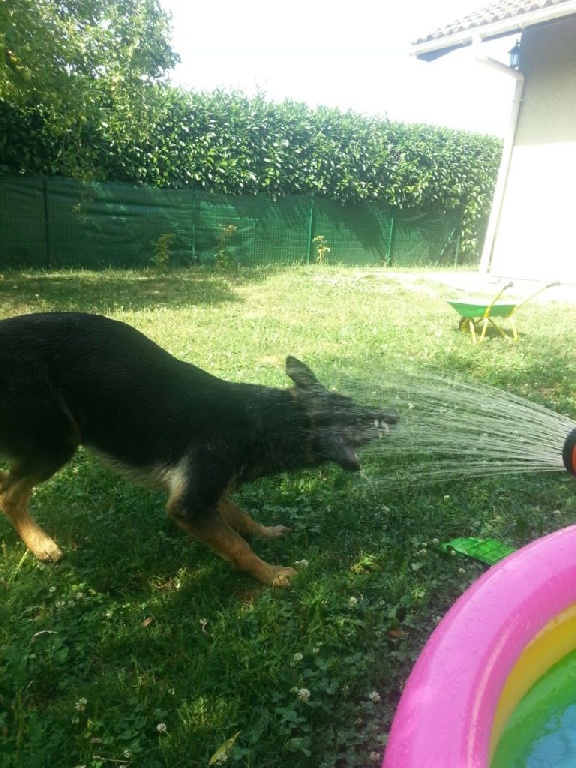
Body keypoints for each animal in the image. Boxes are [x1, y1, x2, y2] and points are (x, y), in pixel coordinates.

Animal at [0, 310, 396, 584]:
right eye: (354, 415)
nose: (394, 417)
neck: (265, 419)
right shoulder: (189, 503)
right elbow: (236, 545)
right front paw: (271, 575)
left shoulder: (209, 490)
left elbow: (241, 518)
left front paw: (266, 534)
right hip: (58, 440)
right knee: (10, 493)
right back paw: (42, 545)